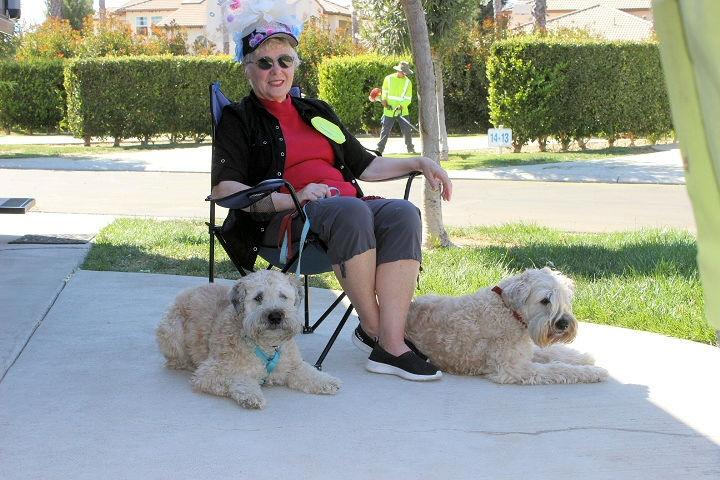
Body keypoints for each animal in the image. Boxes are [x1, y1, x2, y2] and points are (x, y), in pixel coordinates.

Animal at [156, 270, 342, 408]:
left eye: (283, 296)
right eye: (258, 297)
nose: (275, 316)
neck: (266, 345)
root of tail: (187, 291)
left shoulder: (293, 365)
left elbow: (308, 372)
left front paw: (327, 381)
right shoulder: (208, 373)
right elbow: (237, 378)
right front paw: (251, 395)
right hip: (171, 330)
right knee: (176, 359)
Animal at [404, 268, 608, 384]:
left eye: (565, 298)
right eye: (545, 300)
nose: (564, 323)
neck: (510, 311)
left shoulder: (524, 350)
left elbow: (554, 353)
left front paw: (584, 358)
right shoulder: (514, 368)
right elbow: (558, 368)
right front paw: (595, 372)